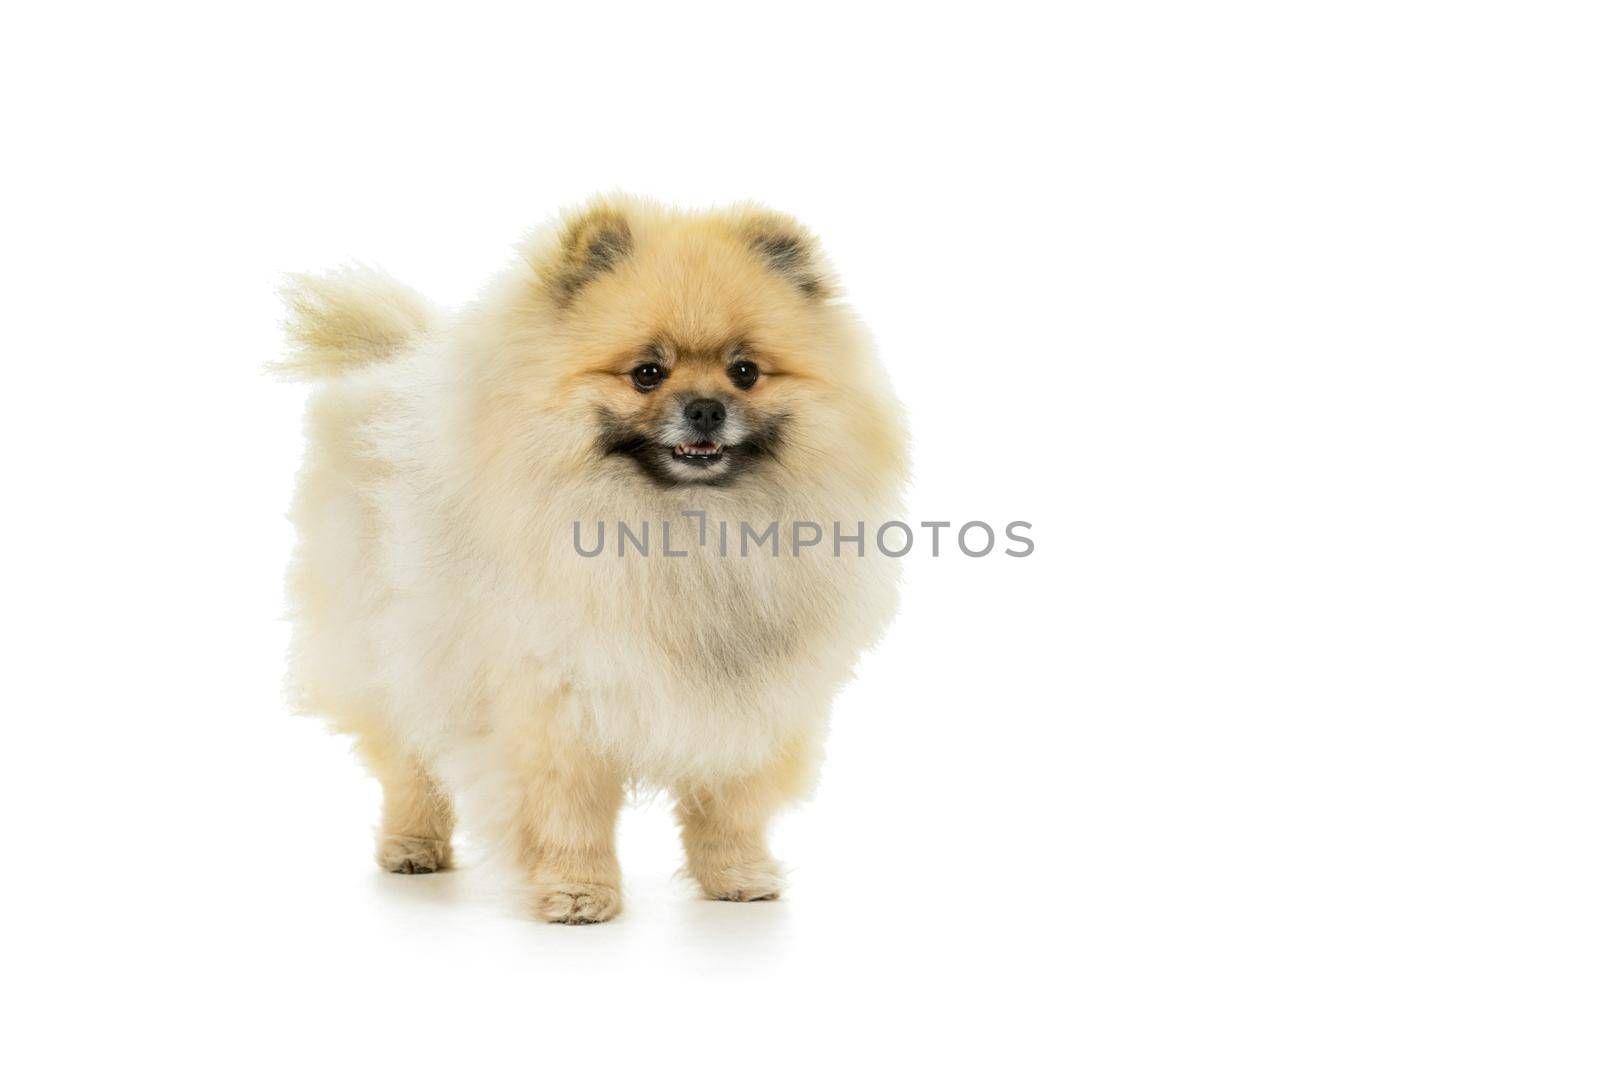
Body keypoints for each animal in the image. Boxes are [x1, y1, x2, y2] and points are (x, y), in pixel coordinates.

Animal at [280, 195, 908, 920]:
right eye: (647, 373)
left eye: (744, 371)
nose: (705, 408)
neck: (686, 533)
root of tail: (392, 362)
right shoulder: (557, 703)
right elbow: (569, 813)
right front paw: (580, 892)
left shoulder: (751, 698)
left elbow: (731, 803)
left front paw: (738, 876)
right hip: (391, 646)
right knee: (410, 758)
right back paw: (413, 846)